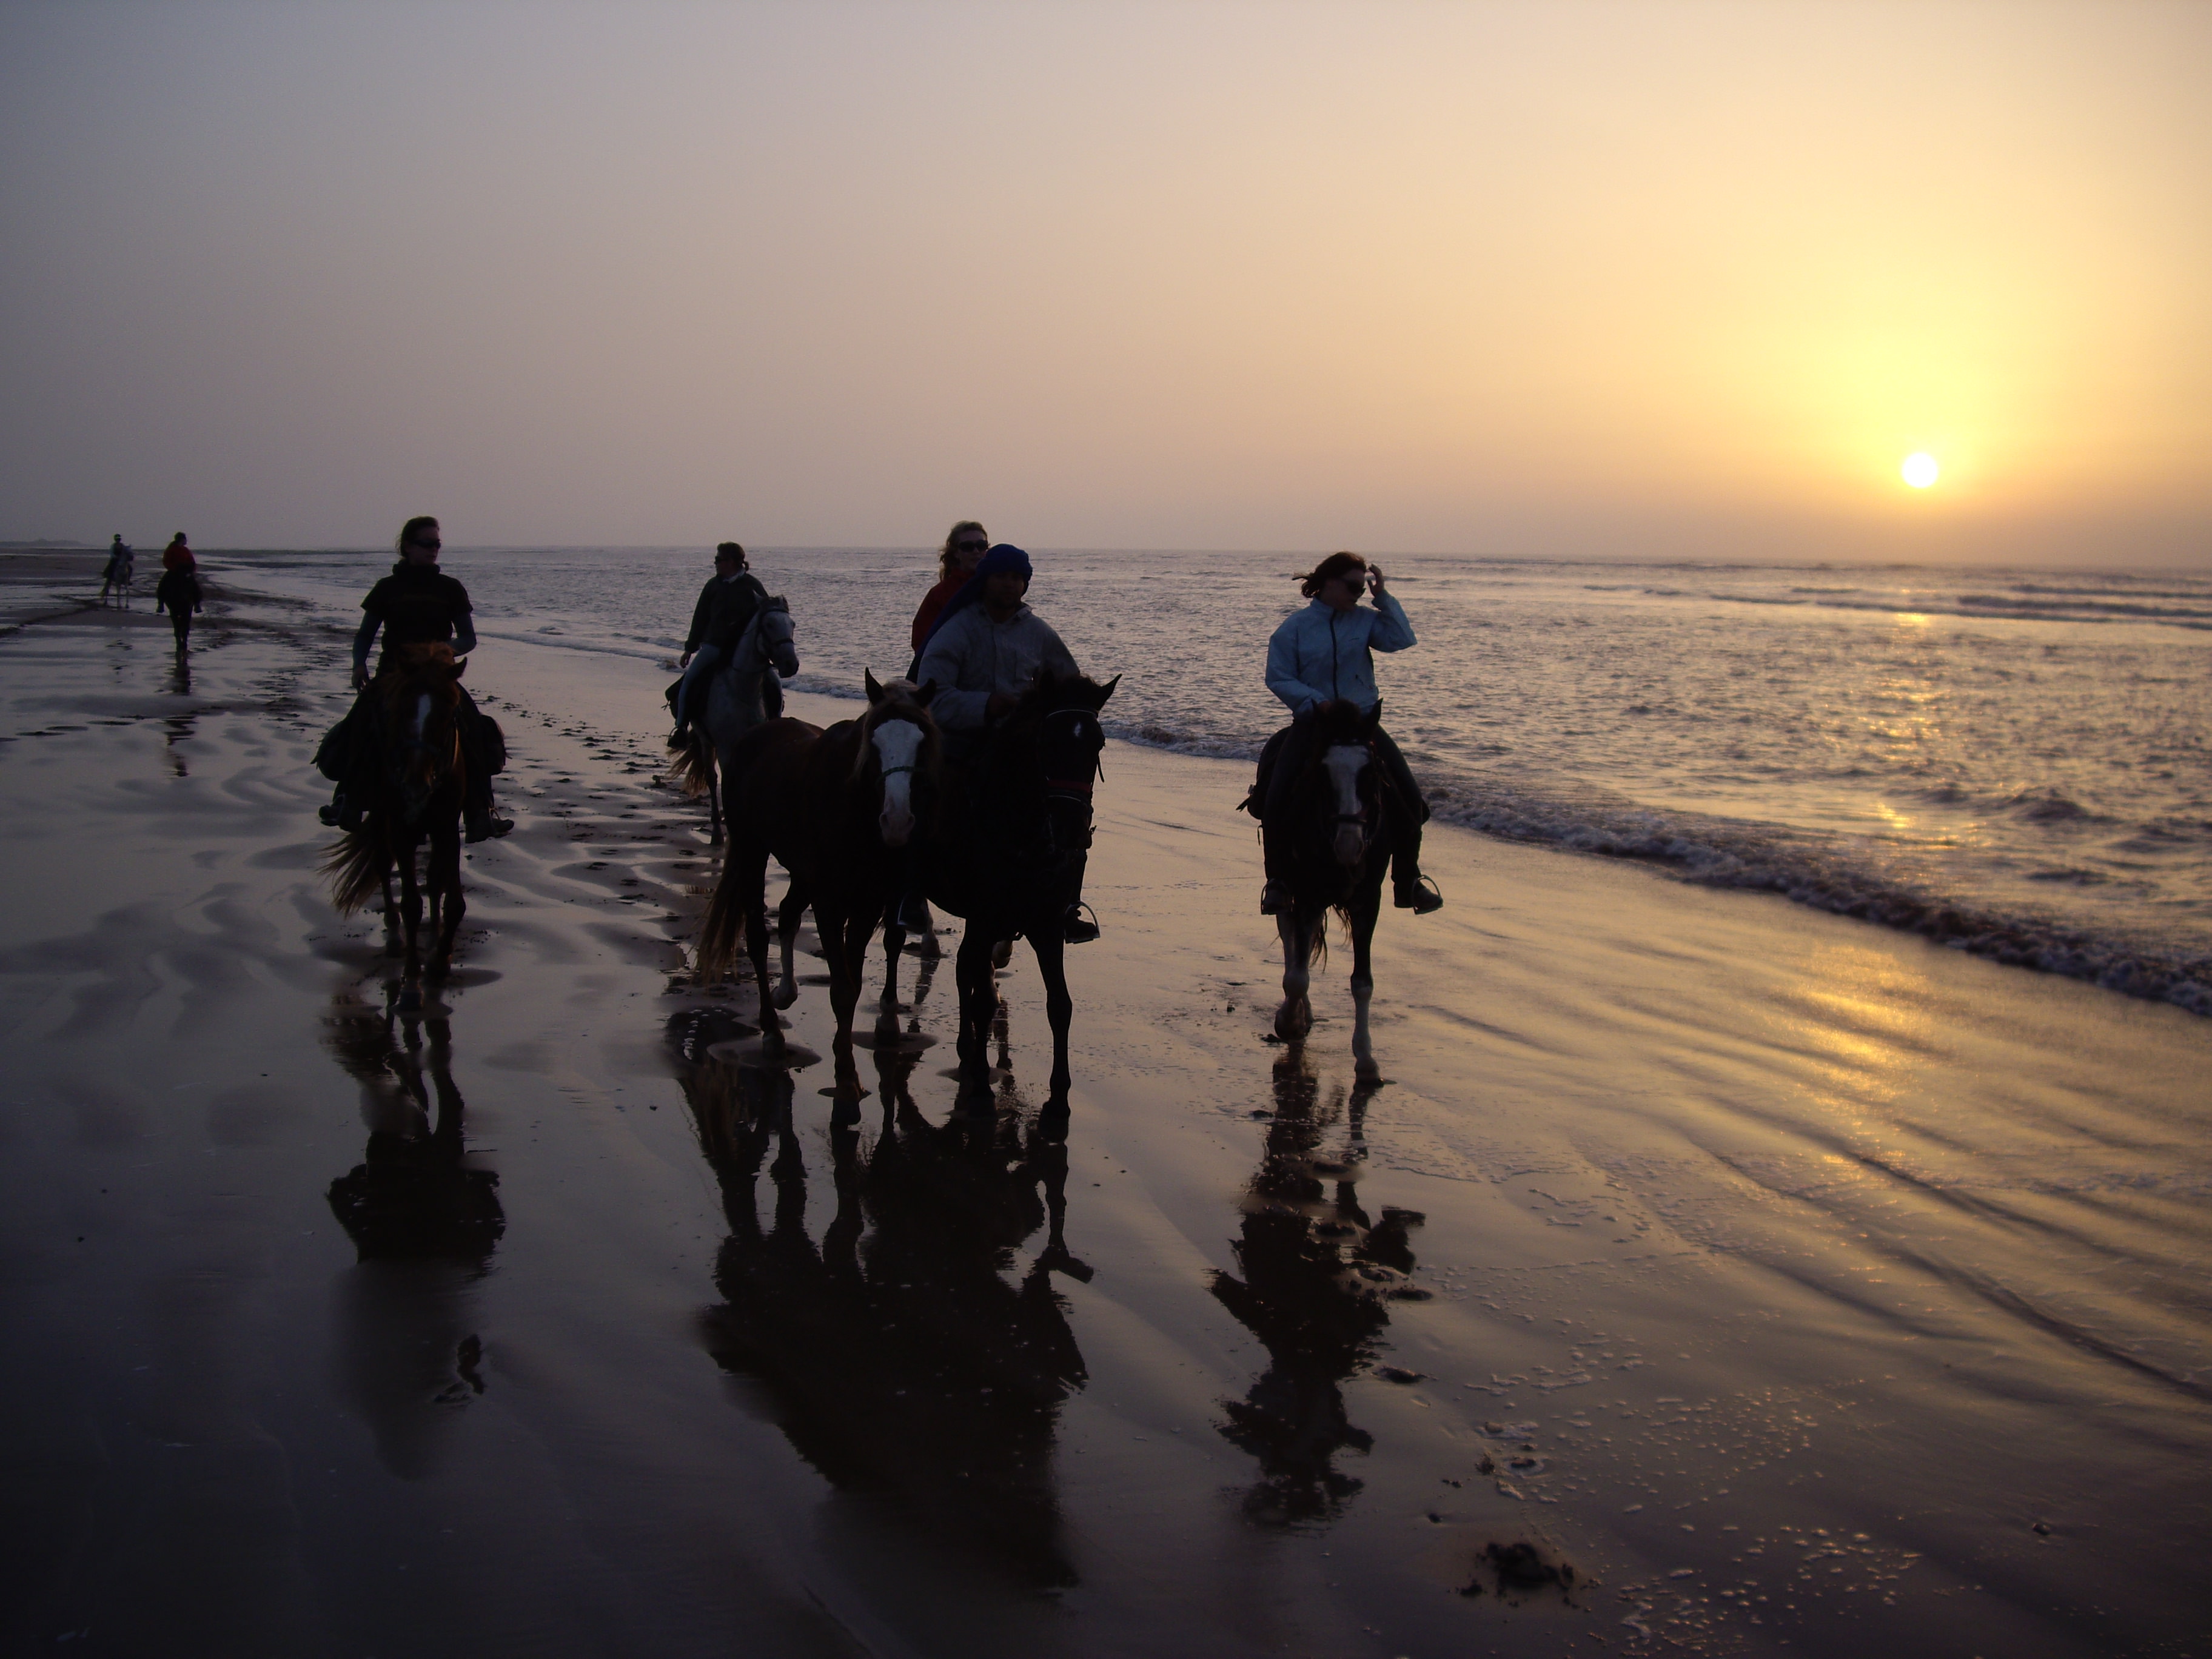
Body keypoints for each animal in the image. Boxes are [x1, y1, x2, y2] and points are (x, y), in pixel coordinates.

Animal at [323, 646, 469, 1013]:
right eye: (404, 711)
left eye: (448, 714)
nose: (415, 783)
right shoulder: (401, 831)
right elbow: (411, 905)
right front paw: (413, 985)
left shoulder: (447, 828)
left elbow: (453, 900)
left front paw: (440, 960)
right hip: (380, 816)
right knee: (381, 865)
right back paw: (393, 935)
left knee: (431, 879)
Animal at [699, 677, 942, 1053]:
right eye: (874, 744)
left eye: (921, 743)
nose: (897, 821)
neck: (852, 810)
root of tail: (753, 736)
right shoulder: (829, 903)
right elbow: (842, 990)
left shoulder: (868, 903)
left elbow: (855, 983)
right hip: (751, 850)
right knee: (758, 937)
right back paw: (771, 1027)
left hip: (801, 872)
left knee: (787, 914)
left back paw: (785, 992)